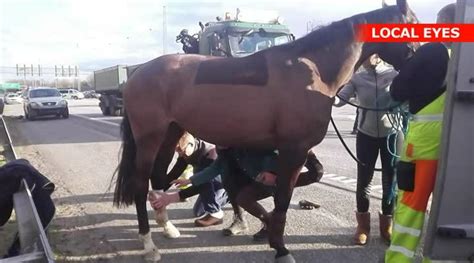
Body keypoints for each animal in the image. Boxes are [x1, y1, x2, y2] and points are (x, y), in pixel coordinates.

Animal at [113, 1, 416, 262]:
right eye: (413, 23)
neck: (313, 72)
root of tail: (138, 74)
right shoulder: (294, 150)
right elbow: (282, 201)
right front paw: (280, 247)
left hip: (170, 134)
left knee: (157, 178)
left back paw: (167, 228)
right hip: (149, 138)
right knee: (141, 185)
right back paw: (149, 246)